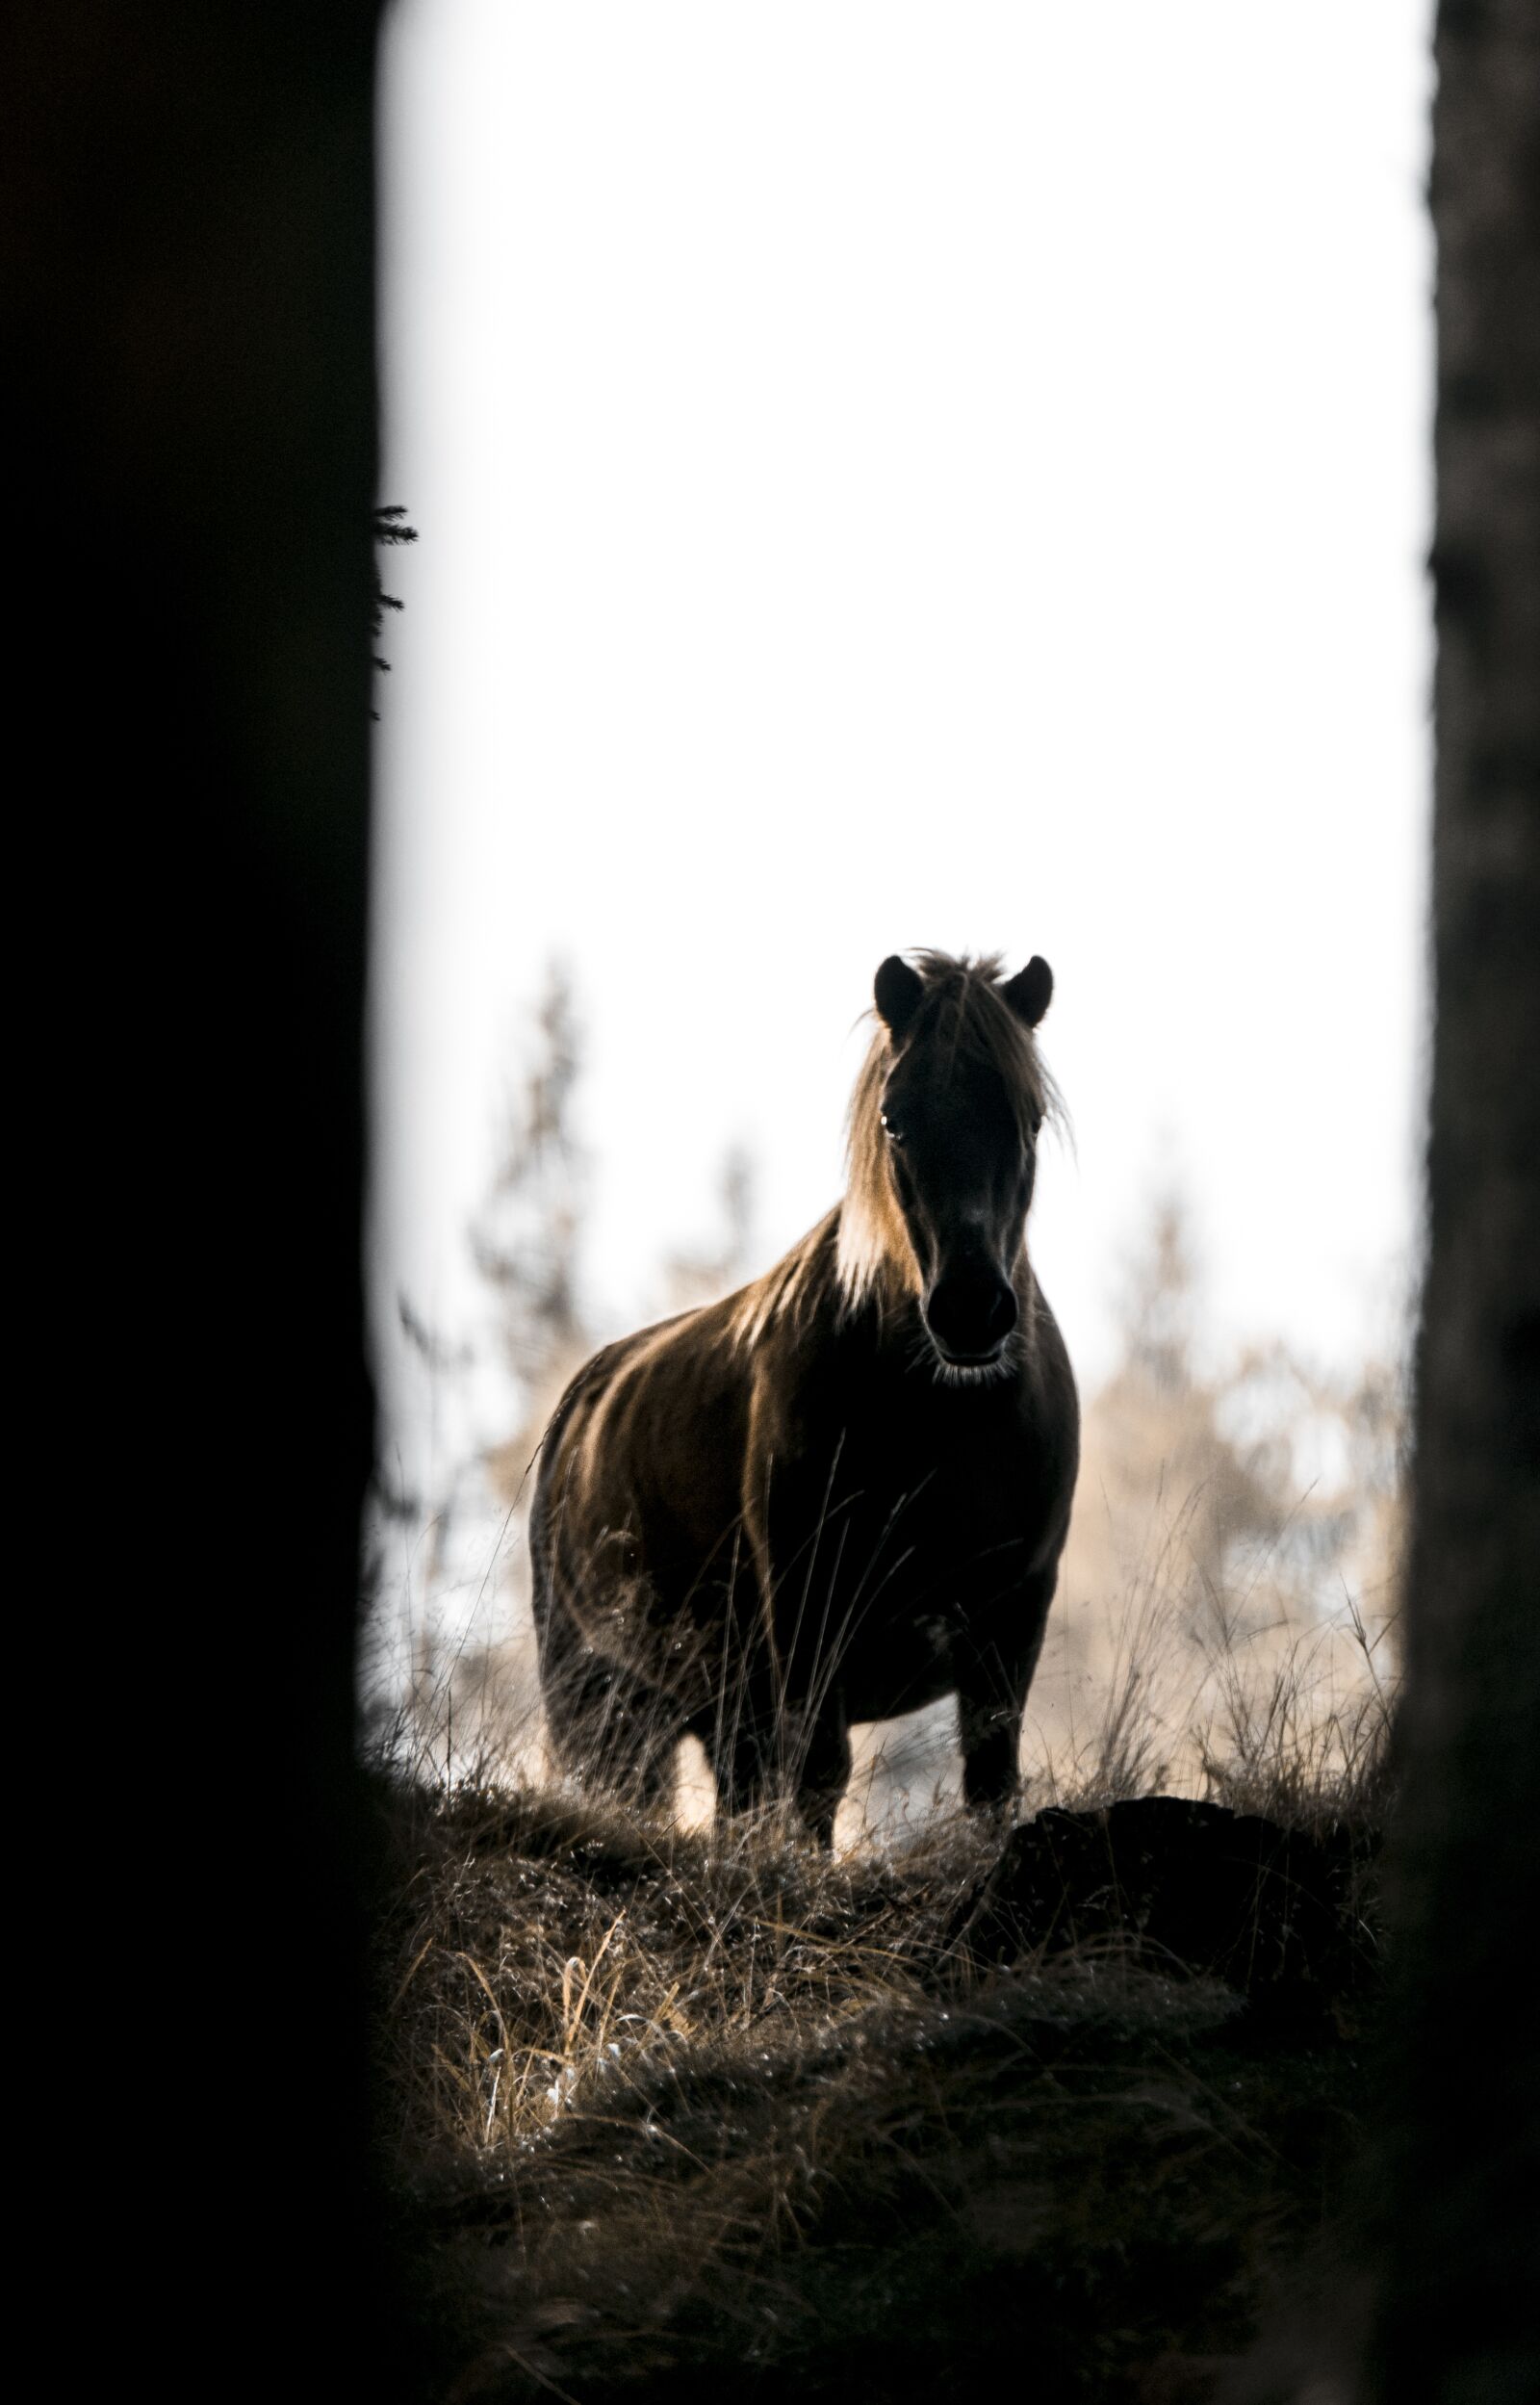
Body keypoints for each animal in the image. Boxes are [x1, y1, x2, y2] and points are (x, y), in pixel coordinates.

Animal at [529, 949, 1080, 1844]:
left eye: (1028, 1121)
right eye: (895, 1120)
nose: (969, 1309)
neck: (941, 1424)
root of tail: (582, 1402)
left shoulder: (1011, 1620)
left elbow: (991, 1782)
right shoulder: (810, 1619)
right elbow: (821, 1782)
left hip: (718, 1710)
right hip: (600, 1696)